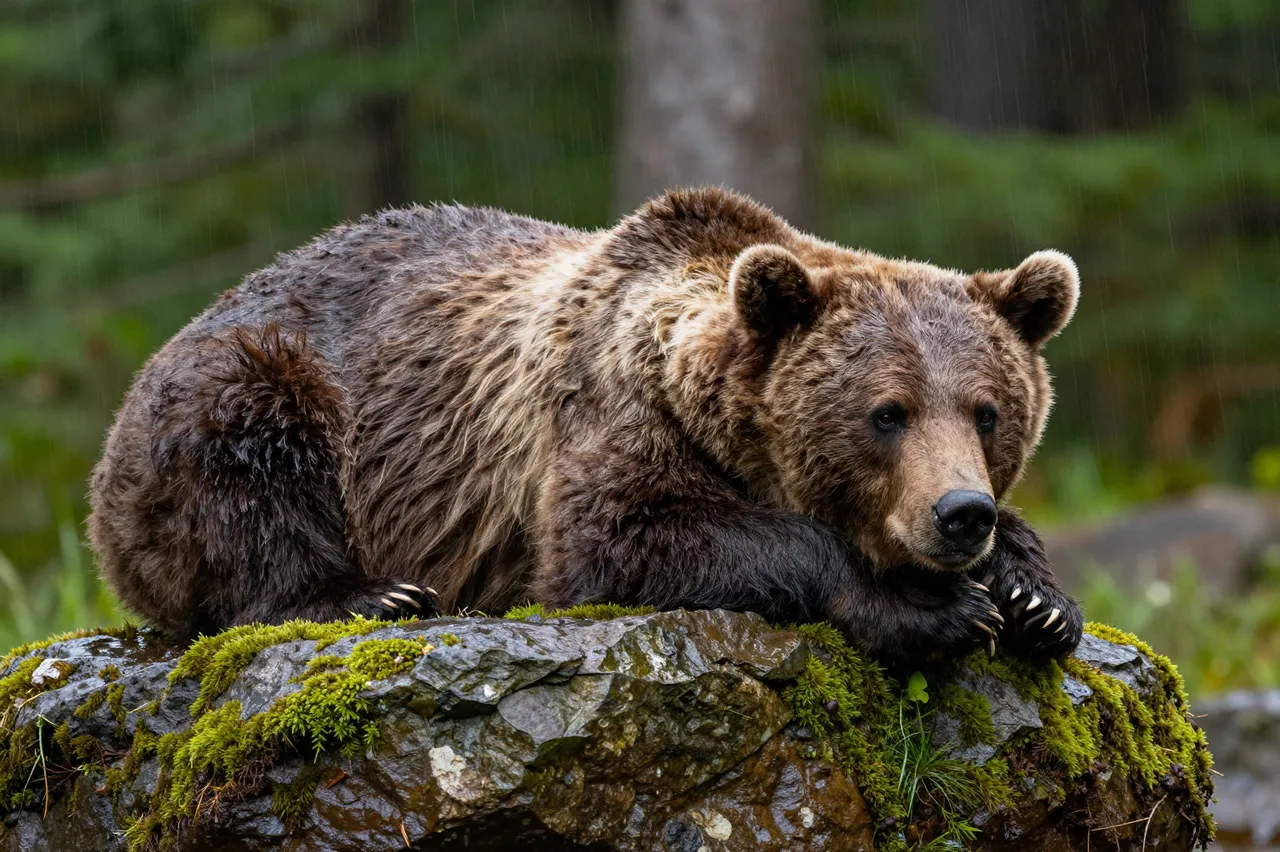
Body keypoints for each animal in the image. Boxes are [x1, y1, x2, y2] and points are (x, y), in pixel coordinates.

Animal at [88, 187, 1084, 665]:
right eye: (888, 412)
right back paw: (373, 594)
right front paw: (927, 607)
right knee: (251, 458)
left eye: (988, 412)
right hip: (249, 390)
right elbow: (626, 538)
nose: (959, 513)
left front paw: (1034, 595)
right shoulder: (601, 417)